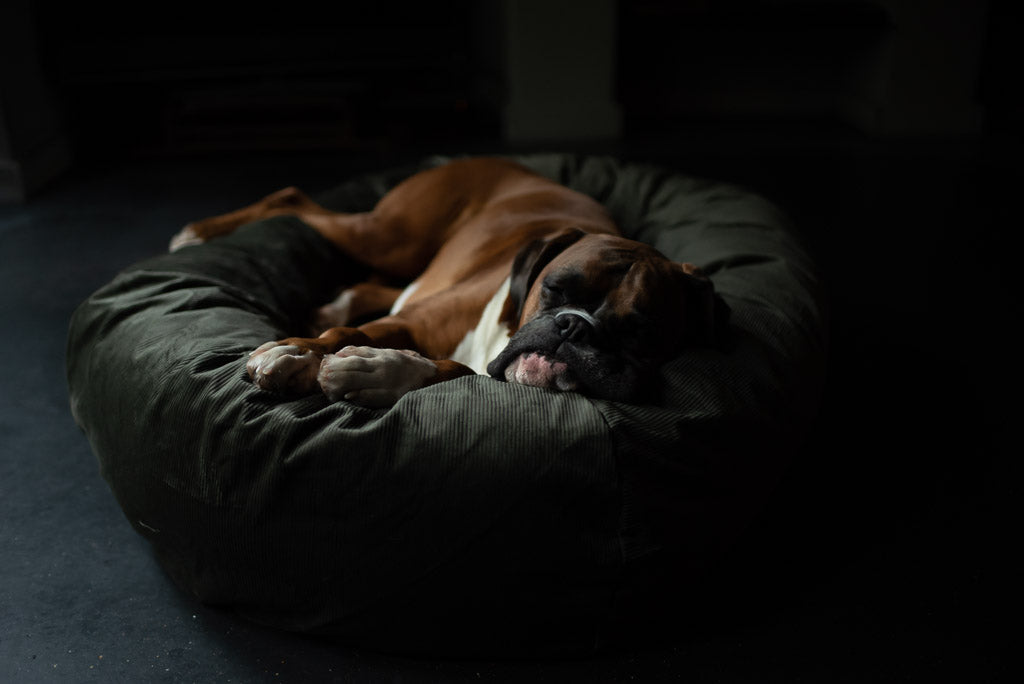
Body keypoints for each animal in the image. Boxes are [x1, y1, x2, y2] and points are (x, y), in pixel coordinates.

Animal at [169, 157, 729, 405]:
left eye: (642, 332)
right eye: (554, 290)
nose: (574, 327)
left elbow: (450, 370)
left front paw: (376, 372)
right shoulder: (414, 322)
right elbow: (348, 336)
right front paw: (297, 353)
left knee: (370, 288)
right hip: (389, 235)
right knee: (292, 199)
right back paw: (198, 233)